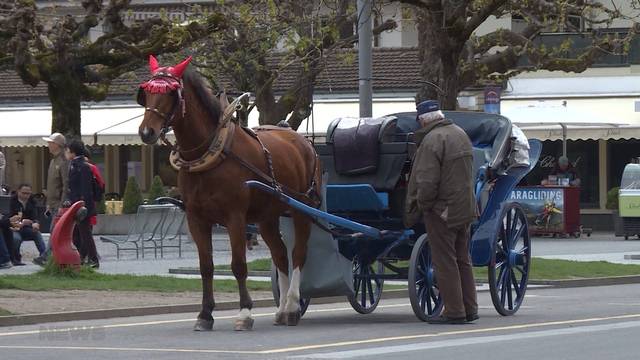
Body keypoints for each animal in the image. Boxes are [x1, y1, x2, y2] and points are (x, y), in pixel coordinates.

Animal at [138, 57, 322, 332]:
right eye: (146, 92)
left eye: (171, 93)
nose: (146, 132)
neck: (209, 154)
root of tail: (303, 141)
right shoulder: (196, 219)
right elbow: (206, 267)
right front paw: (205, 314)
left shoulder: (235, 218)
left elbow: (238, 265)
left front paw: (245, 312)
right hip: (267, 217)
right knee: (280, 254)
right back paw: (280, 311)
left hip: (302, 209)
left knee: (298, 253)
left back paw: (291, 307)